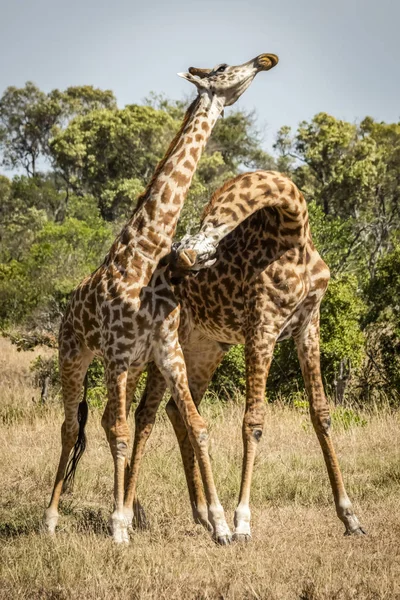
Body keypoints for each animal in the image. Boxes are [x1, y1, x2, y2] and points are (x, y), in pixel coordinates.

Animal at [43, 54, 280, 548]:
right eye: (223, 67)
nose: (263, 61)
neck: (146, 256)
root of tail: (68, 307)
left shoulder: (167, 353)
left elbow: (197, 426)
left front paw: (221, 525)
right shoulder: (116, 354)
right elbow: (118, 433)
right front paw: (118, 528)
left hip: (132, 368)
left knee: (104, 421)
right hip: (74, 355)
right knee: (72, 426)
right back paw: (51, 518)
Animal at [131, 168, 366, 540]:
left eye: (199, 260)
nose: (171, 275)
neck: (294, 231)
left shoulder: (309, 325)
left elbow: (321, 414)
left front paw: (350, 516)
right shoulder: (263, 326)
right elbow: (253, 421)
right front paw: (242, 520)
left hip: (206, 347)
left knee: (174, 410)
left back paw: (202, 514)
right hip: (170, 346)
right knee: (145, 414)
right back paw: (136, 513)